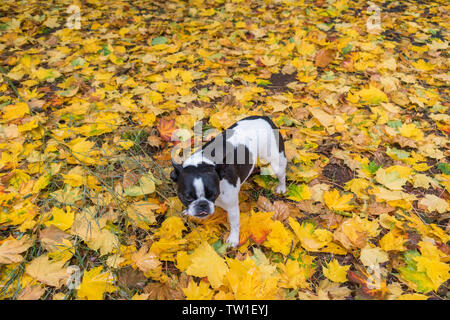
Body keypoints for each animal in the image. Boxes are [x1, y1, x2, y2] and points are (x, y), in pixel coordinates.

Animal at [171, 115, 286, 248]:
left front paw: (233, 239)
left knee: (282, 174)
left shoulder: (232, 207)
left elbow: (235, 224)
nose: (202, 204)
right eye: (187, 197)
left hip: (276, 160)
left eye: (214, 194)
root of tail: (264, 117)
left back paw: (281, 187)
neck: (203, 163)